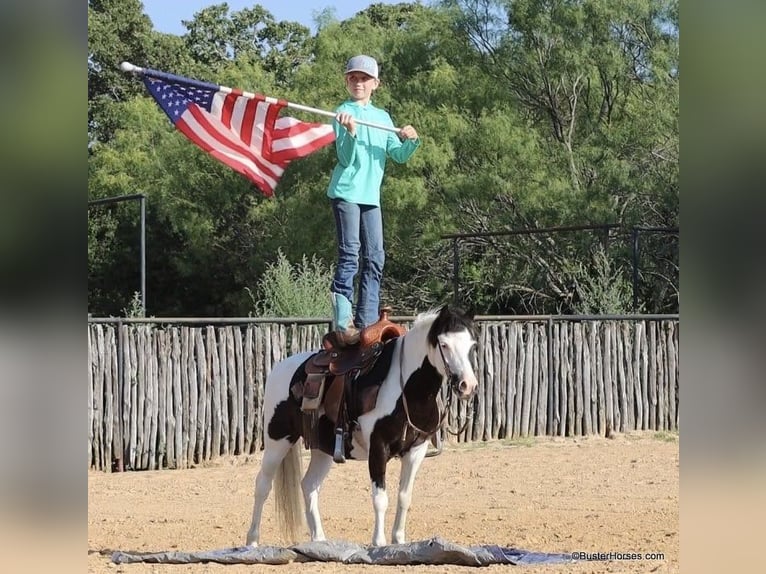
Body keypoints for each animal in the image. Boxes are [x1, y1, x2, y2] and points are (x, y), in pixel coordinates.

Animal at [246, 306, 476, 548]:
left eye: (472, 345)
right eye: (444, 344)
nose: (467, 385)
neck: (407, 390)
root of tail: (280, 368)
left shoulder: (416, 450)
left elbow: (404, 497)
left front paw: (399, 540)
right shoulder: (378, 447)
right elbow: (380, 498)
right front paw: (379, 543)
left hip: (322, 448)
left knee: (309, 486)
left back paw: (319, 540)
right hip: (277, 440)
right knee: (262, 485)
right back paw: (252, 541)